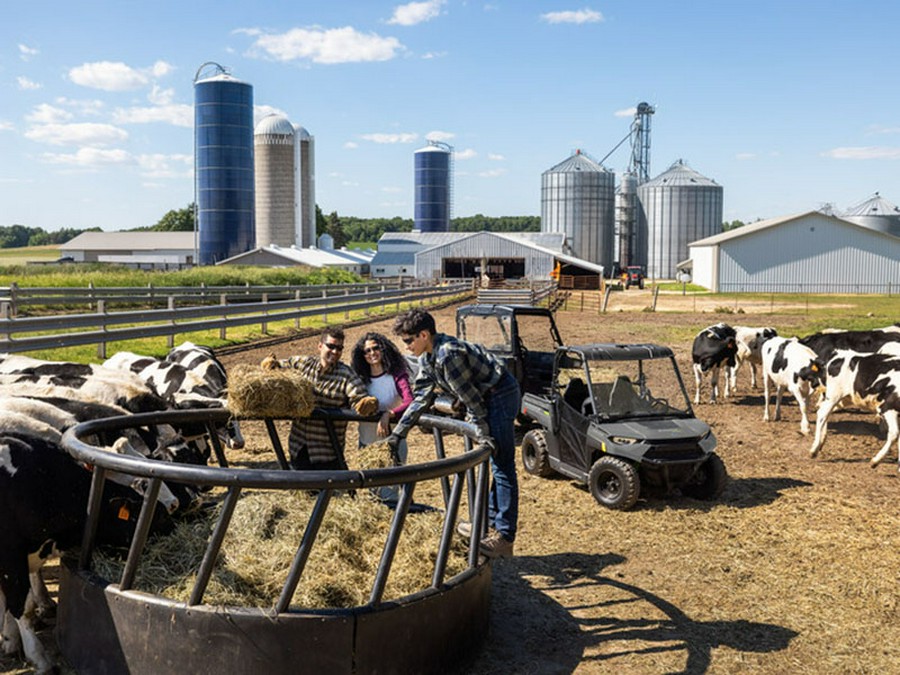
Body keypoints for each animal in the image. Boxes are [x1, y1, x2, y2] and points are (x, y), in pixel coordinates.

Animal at [0, 430, 172, 672]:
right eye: (145, 485)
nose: (174, 507)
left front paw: (10, 639)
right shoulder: (11, 555)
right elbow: (20, 605)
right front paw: (38, 657)